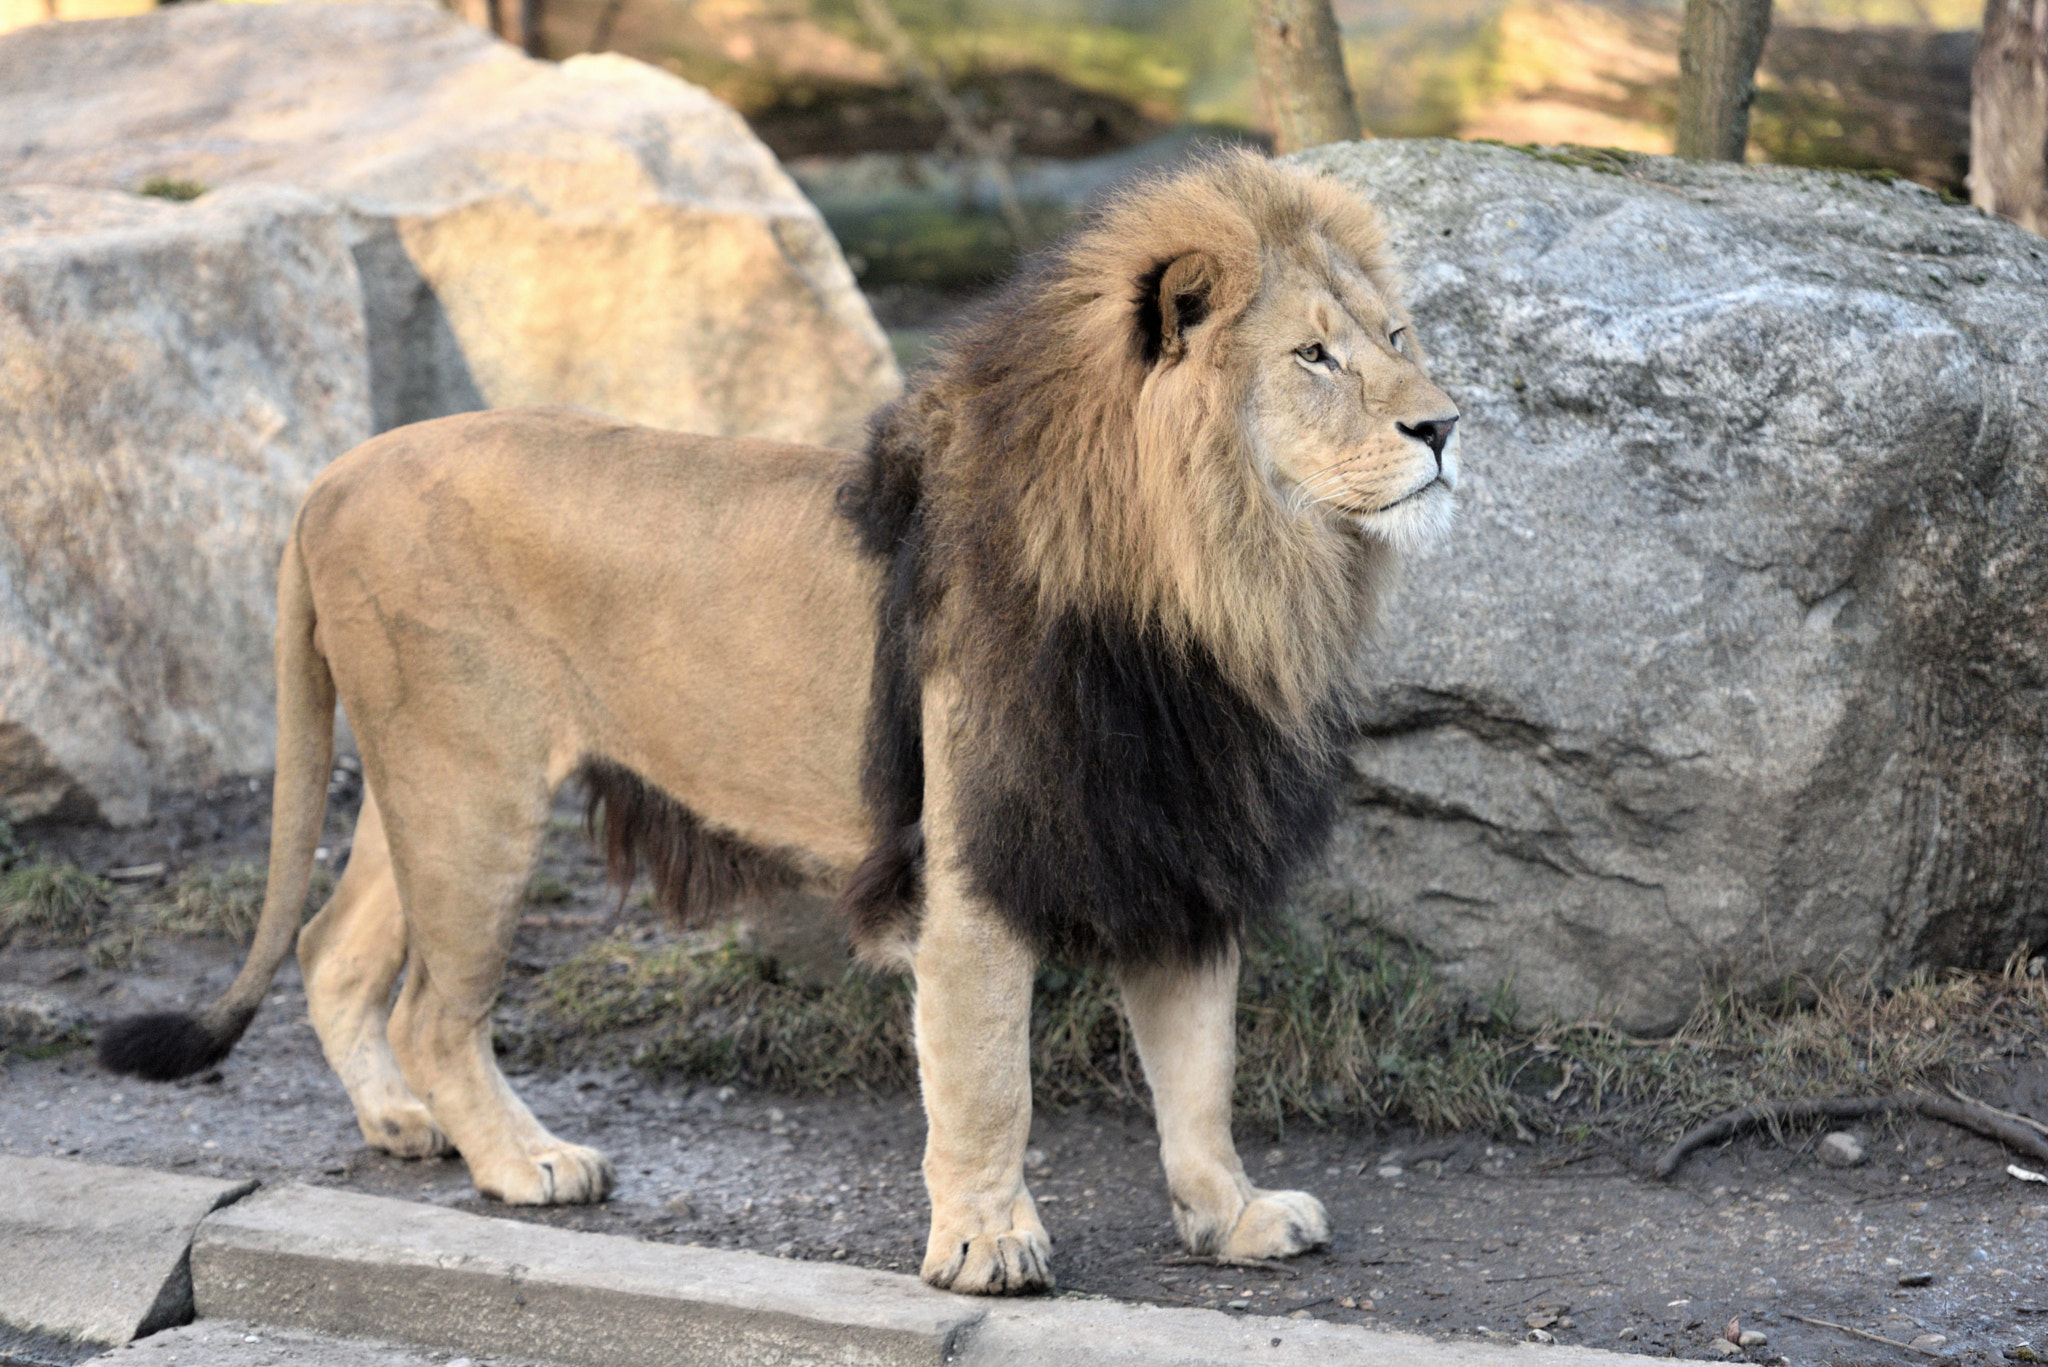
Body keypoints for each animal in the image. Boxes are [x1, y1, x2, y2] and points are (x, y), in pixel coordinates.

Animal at [97, 151, 1460, 1296]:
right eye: (1312, 356)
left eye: (1397, 337)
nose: (1444, 425)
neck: (1215, 580)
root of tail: (331, 474)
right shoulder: (972, 860)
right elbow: (988, 1076)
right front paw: (985, 1243)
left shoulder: (1170, 836)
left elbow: (1198, 1069)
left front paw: (1229, 1216)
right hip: (469, 794)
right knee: (435, 1008)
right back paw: (526, 1162)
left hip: (423, 784)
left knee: (332, 947)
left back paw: (401, 1124)